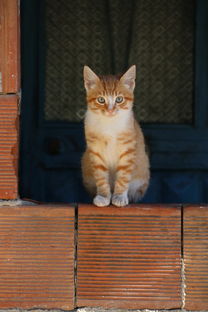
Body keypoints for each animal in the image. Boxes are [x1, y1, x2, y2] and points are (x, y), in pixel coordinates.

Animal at [81, 65, 150, 207]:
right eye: (101, 100)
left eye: (119, 99)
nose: (110, 110)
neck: (110, 124)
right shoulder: (95, 151)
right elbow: (101, 176)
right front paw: (103, 196)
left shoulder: (128, 150)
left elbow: (123, 176)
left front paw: (119, 196)